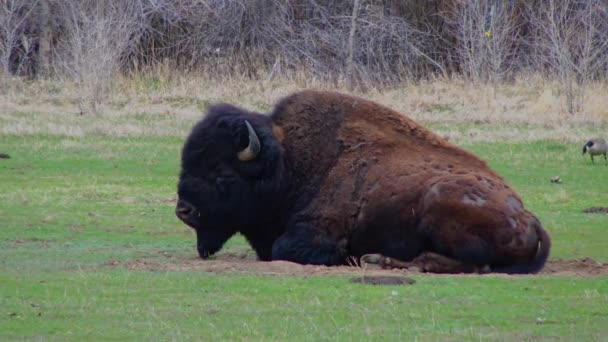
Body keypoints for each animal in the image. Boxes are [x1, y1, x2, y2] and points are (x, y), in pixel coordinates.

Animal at [176, 89, 552, 274]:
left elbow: (285, 249)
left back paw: (380, 260)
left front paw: (349, 258)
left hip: (438, 200)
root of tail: (528, 216)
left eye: (222, 174)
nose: (184, 210)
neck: (290, 163)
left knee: (469, 263)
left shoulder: (318, 233)